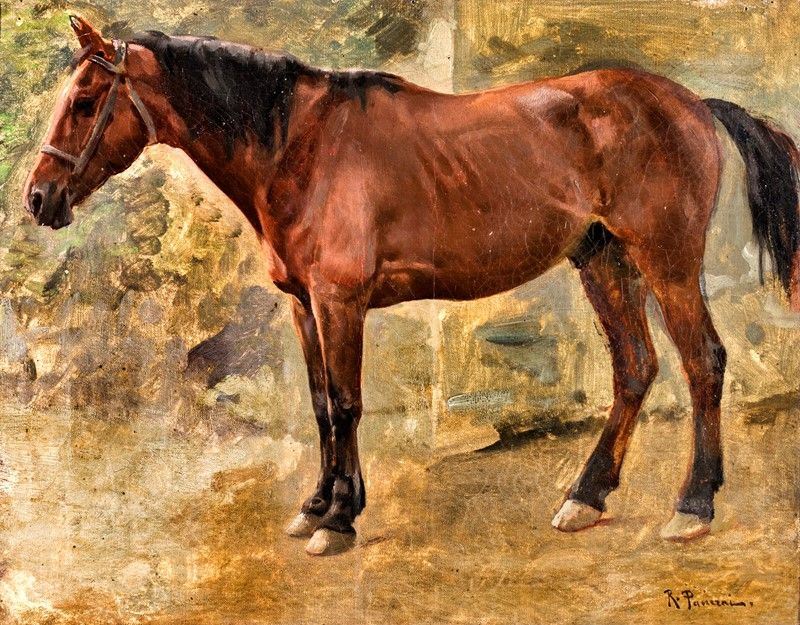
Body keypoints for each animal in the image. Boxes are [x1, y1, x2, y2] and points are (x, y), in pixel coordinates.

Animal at [23, 16, 800, 556]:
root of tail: (691, 102)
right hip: (605, 262)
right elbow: (319, 405)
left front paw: (339, 519)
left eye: (87, 99)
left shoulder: (340, 302)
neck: (299, 145)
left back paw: (692, 507)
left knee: (703, 363)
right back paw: (587, 497)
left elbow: (346, 404)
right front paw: (316, 505)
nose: (37, 198)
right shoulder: (305, 307)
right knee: (635, 368)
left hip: (666, 262)